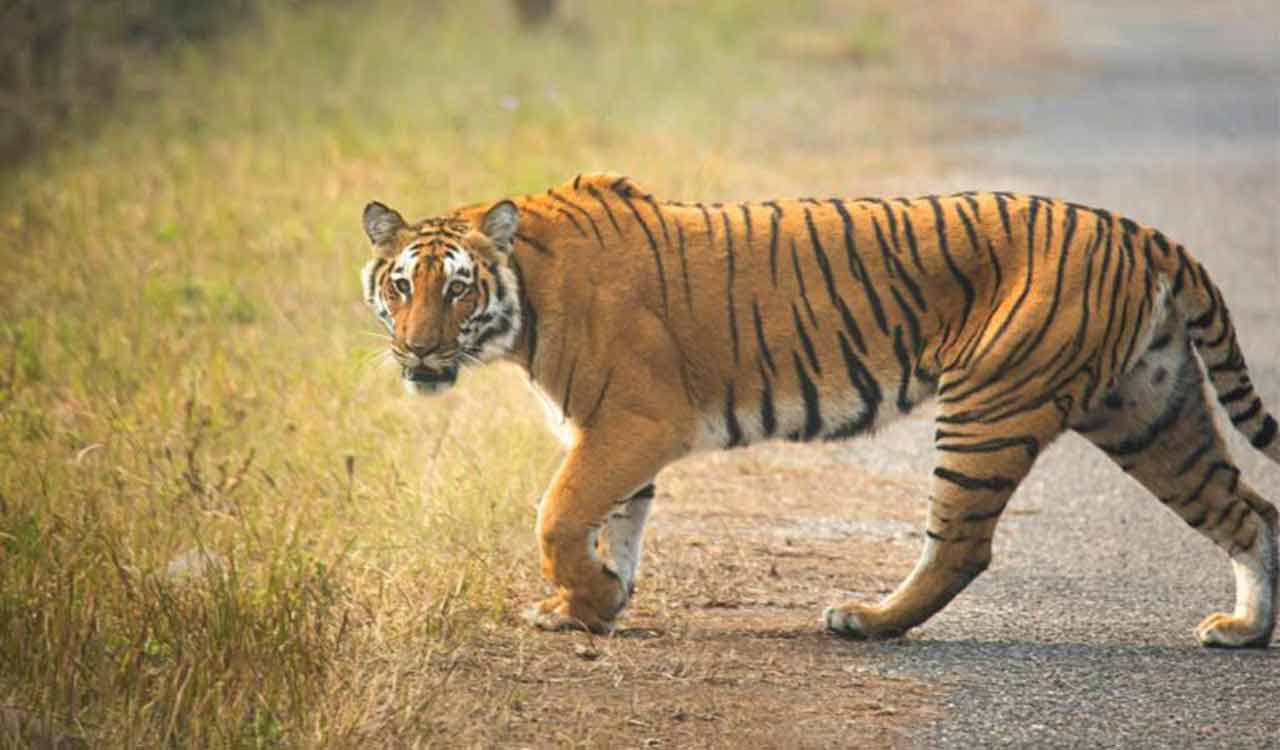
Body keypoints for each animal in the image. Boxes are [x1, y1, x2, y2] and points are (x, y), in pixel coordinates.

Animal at [358, 173, 1279, 648]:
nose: (417, 352)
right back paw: (1243, 629)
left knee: (962, 545)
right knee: (1248, 510)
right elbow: (614, 521)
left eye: (456, 288)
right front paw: (595, 606)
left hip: (990, 408)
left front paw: (580, 601)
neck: (525, 300)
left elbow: (557, 514)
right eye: (400, 286)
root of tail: (1140, 231)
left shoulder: (634, 423)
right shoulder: (611, 433)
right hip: (1149, 411)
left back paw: (865, 621)